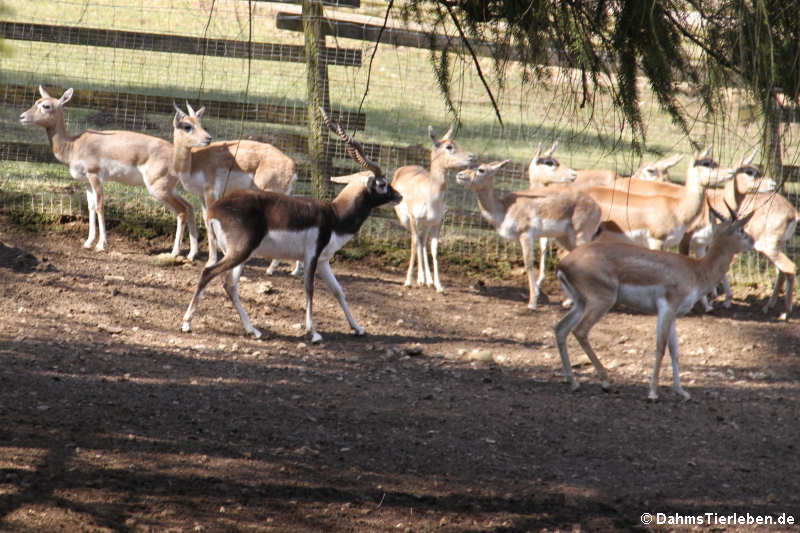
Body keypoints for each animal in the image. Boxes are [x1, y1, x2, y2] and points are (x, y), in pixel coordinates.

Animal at [19, 85, 203, 258]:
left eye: (46, 105)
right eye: (36, 101)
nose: (22, 117)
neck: (73, 145)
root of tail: (181, 154)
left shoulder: (95, 176)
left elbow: (100, 207)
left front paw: (101, 245)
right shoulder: (86, 182)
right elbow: (91, 208)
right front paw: (88, 242)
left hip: (159, 190)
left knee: (182, 211)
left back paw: (175, 252)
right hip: (170, 189)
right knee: (190, 207)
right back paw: (192, 254)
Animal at [180, 107, 400, 344]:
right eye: (382, 184)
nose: (399, 196)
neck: (334, 215)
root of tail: (214, 210)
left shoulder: (324, 261)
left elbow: (338, 291)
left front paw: (357, 327)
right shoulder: (311, 256)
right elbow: (309, 289)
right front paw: (313, 332)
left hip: (239, 254)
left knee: (229, 284)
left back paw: (253, 330)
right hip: (240, 252)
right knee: (208, 273)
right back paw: (187, 323)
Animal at [392, 124, 476, 290]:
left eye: (457, 142)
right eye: (449, 146)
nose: (471, 156)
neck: (430, 196)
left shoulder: (437, 222)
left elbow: (434, 250)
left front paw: (439, 285)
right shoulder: (414, 218)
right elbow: (414, 245)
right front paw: (407, 281)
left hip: (426, 225)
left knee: (423, 242)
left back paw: (427, 280)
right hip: (407, 221)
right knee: (417, 241)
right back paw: (419, 279)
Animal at [456, 160, 600, 308]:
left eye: (481, 169)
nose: (459, 175)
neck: (505, 208)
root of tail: (597, 207)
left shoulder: (526, 235)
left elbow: (528, 264)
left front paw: (532, 302)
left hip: (581, 236)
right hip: (565, 238)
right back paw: (568, 302)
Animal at [552, 202, 752, 402]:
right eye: (741, 230)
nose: (752, 241)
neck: (696, 271)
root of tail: (563, 264)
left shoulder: (674, 315)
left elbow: (674, 351)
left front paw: (681, 391)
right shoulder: (666, 308)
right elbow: (660, 347)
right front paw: (653, 392)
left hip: (581, 303)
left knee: (560, 328)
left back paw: (574, 382)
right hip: (601, 301)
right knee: (580, 331)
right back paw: (606, 382)